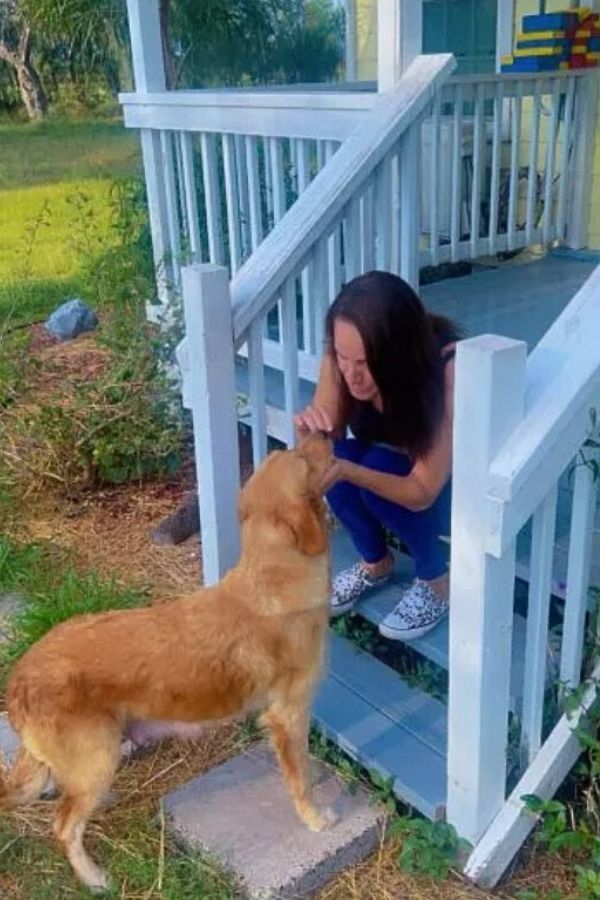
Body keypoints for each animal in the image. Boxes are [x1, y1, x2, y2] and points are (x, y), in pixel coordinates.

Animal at [2, 432, 336, 888]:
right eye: (302, 456)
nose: (324, 432)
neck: (272, 578)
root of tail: (19, 679)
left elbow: (301, 767)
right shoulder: (288, 714)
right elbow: (300, 779)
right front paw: (315, 819)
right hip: (95, 760)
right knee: (64, 825)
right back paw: (93, 878)